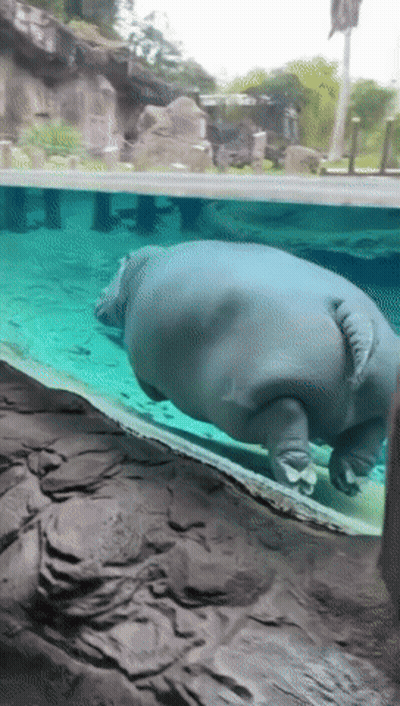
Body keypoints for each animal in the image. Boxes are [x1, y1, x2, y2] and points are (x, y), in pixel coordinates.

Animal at [95, 240, 400, 496]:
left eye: (118, 265)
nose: (98, 299)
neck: (140, 272)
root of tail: (354, 312)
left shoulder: (140, 360)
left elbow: (148, 386)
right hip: (378, 403)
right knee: (364, 440)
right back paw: (349, 482)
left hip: (245, 402)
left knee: (287, 418)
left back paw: (297, 480)